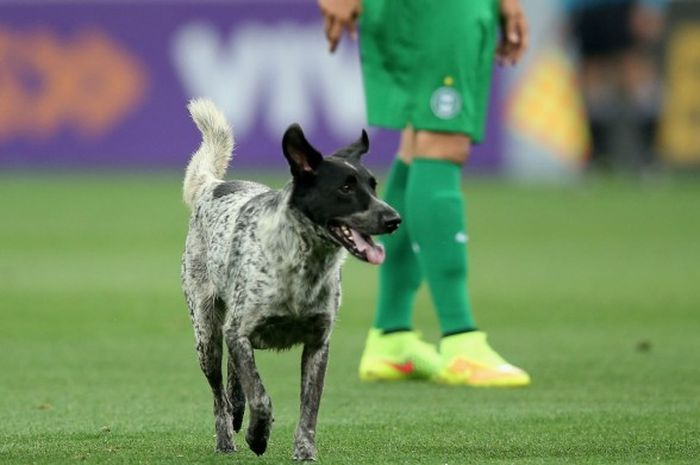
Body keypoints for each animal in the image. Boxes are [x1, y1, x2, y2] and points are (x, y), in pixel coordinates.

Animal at [180, 99, 400, 458]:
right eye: (345, 187)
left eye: (373, 185)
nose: (394, 218)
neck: (304, 266)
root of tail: (213, 185)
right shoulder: (240, 331)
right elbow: (261, 396)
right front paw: (258, 435)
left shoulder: (318, 343)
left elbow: (309, 407)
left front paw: (305, 452)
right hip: (206, 334)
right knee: (218, 394)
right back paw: (227, 439)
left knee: (234, 380)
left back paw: (238, 411)